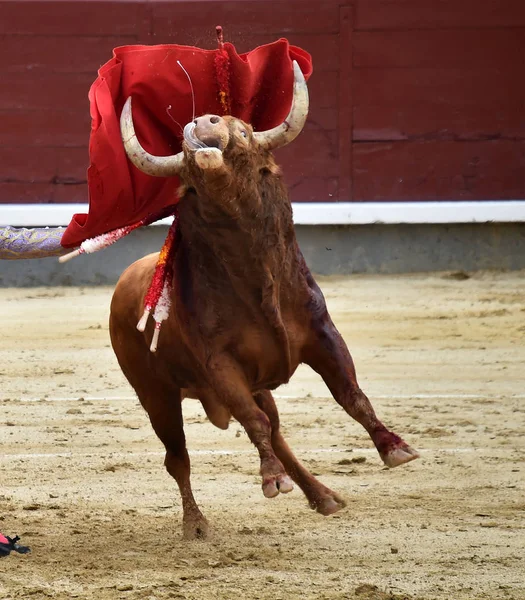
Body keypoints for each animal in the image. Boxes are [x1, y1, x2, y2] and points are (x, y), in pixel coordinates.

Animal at [110, 63, 418, 540]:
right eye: (187, 171)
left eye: (244, 131)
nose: (201, 124)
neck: (255, 279)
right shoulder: (220, 364)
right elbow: (252, 421)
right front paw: (270, 480)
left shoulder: (322, 335)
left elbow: (351, 394)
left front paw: (394, 447)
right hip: (154, 394)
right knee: (180, 456)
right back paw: (197, 524)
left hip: (252, 387)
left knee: (276, 432)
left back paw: (322, 496)